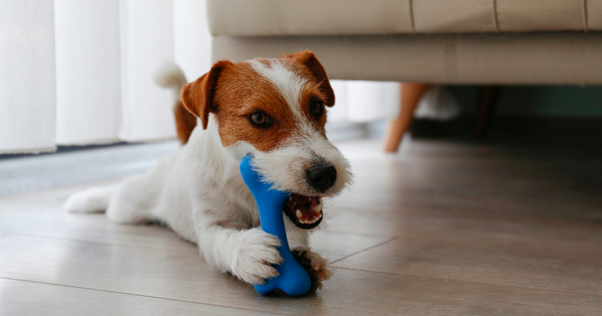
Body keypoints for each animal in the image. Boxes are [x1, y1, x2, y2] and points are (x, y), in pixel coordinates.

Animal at [63, 51, 350, 292]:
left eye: (317, 107)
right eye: (258, 118)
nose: (325, 174)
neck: (244, 187)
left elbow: (294, 234)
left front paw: (304, 257)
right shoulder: (210, 225)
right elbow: (221, 240)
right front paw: (248, 251)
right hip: (128, 206)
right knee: (115, 195)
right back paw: (83, 200)